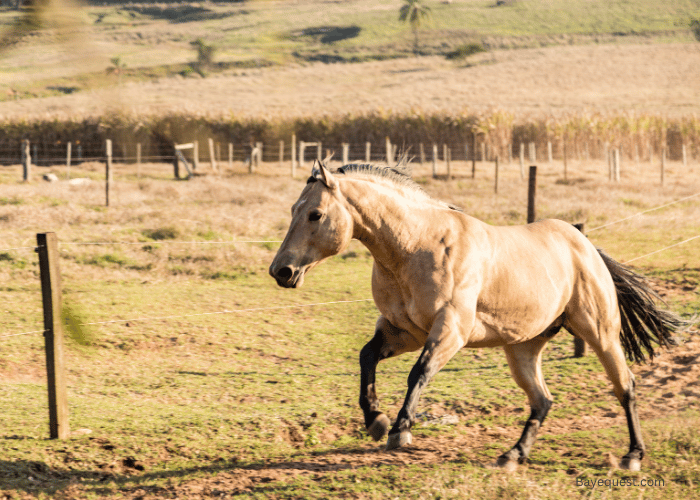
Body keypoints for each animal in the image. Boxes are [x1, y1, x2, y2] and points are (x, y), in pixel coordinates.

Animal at [268, 161, 684, 472]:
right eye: (292, 211)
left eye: (315, 214)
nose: (281, 271)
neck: (415, 246)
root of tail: (584, 244)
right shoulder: (403, 332)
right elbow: (366, 357)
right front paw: (376, 421)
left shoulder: (451, 330)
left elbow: (419, 372)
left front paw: (400, 430)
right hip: (523, 349)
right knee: (542, 400)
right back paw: (513, 455)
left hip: (600, 333)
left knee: (625, 386)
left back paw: (632, 456)